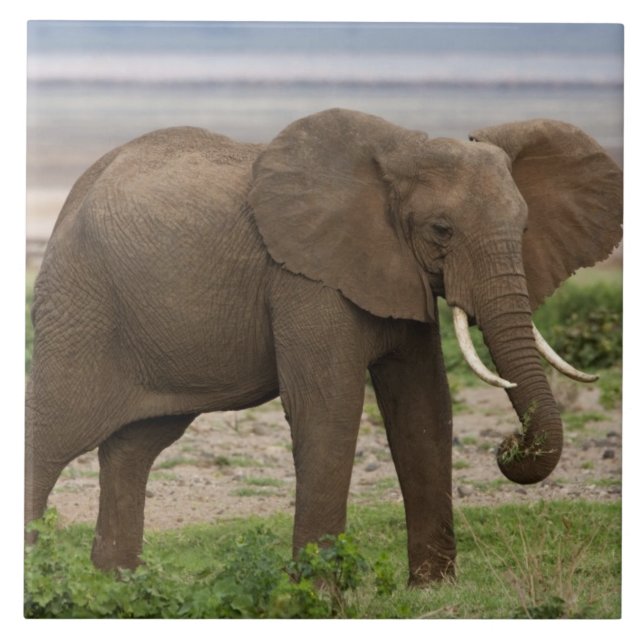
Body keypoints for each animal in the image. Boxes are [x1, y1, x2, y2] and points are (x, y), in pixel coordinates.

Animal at [25, 108, 622, 585]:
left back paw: (115, 587)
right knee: (53, 434)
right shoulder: (304, 280)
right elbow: (327, 407)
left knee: (135, 446)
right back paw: (40, 581)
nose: (509, 445)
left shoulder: (394, 273)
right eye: (441, 230)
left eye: (523, 228)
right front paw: (316, 597)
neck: (398, 157)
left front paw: (433, 593)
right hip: (79, 304)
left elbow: (424, 407)